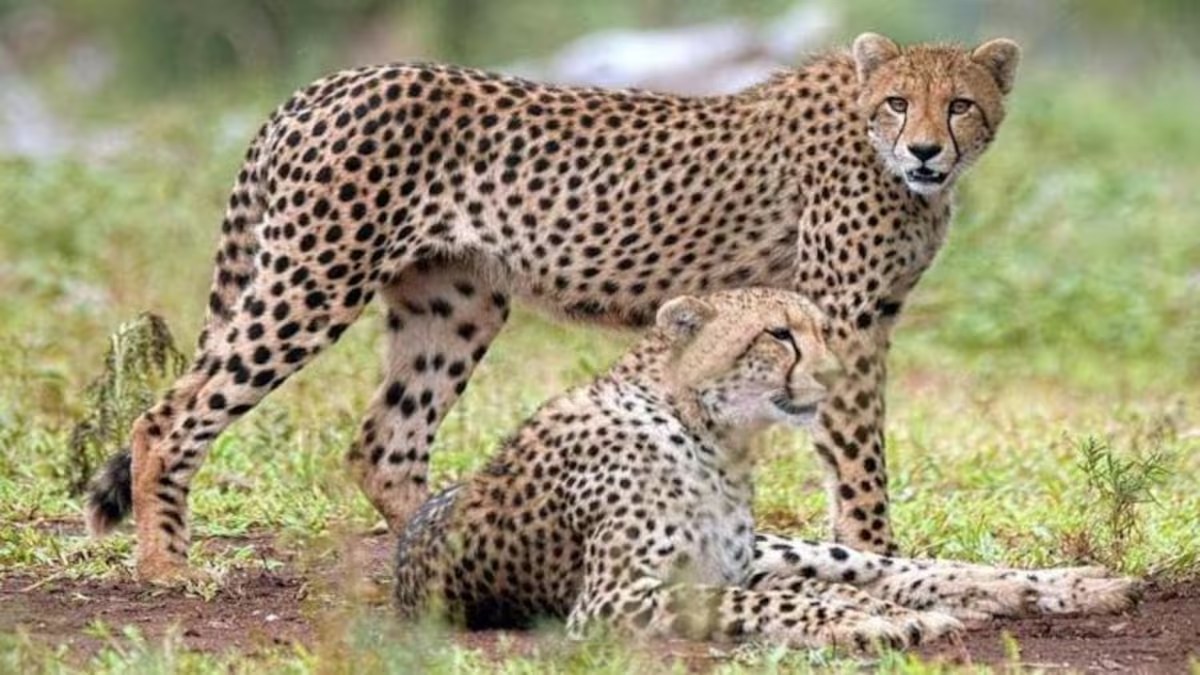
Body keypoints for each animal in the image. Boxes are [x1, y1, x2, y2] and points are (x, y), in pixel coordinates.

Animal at [86, 32, 1023, 582]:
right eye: (899, 101)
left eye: (961, 104)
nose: (927, 150)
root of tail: (322, 85)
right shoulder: (844, 317)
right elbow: (859, 459)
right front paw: (875, 553)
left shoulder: (863, 317)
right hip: (314, 279)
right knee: (169, 415)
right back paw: (166, 568)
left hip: (456, 302)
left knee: (385, 443)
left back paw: (455, 549)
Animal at [393, 288, 1136, 651]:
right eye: (778, 334)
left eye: (823, 329)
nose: (835, 374)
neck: (710, 433)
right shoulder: (615, 597)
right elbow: (770, 600)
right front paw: (874, 622)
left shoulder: (725, 564)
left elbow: (801, 592)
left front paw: (882, 615)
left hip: (786, 546)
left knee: (900, 566)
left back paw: (1077, 585)